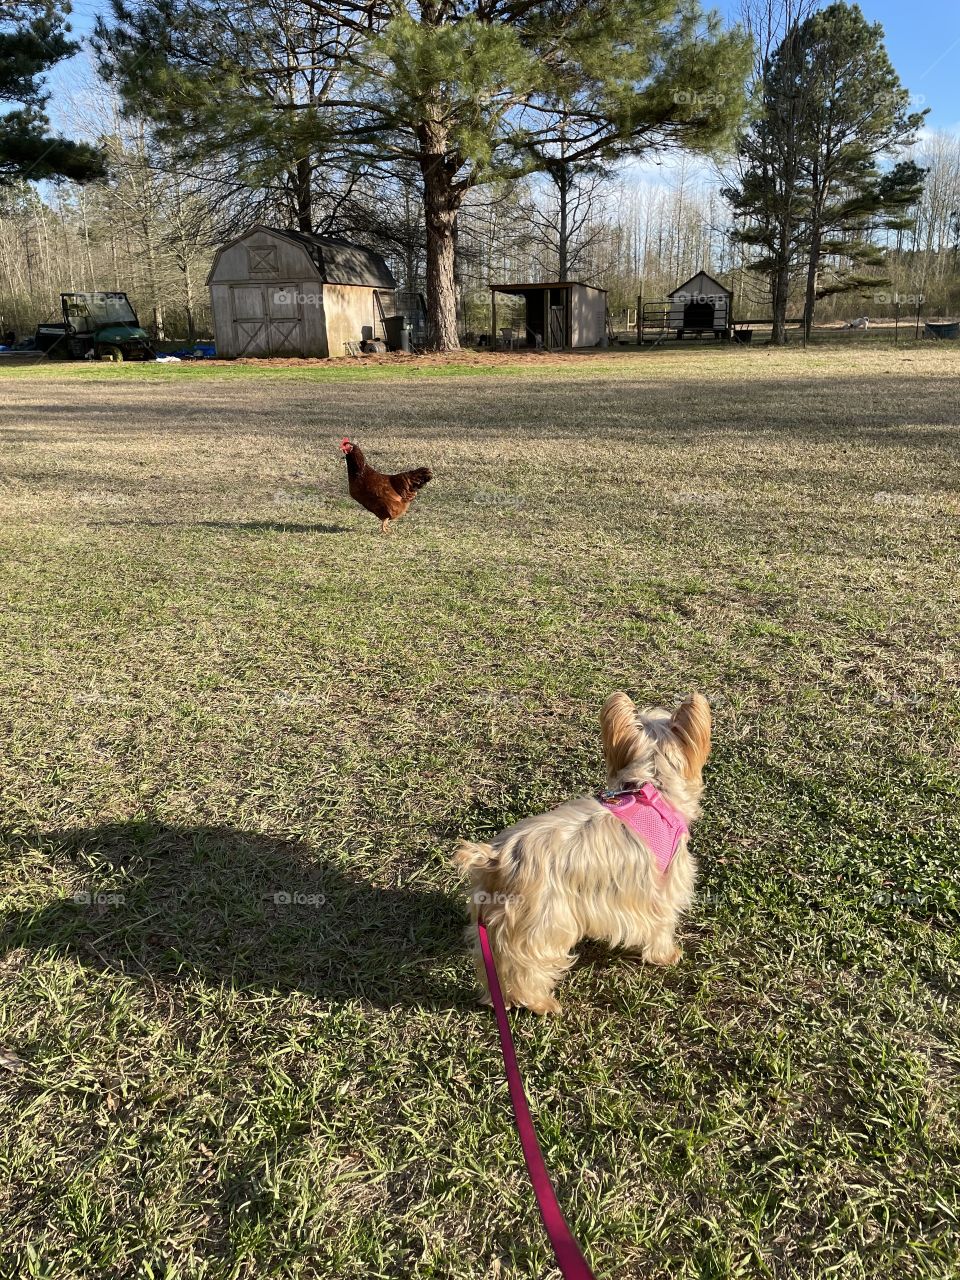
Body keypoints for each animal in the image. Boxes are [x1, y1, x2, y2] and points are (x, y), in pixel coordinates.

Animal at [455, 696, 711, 1013]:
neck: (650, 786)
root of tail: (494, 859)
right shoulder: (662, 888)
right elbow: (661, 925)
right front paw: (667, 955)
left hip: (494, 921)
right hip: (543, 922)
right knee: (526, 967)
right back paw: (541, 1004)